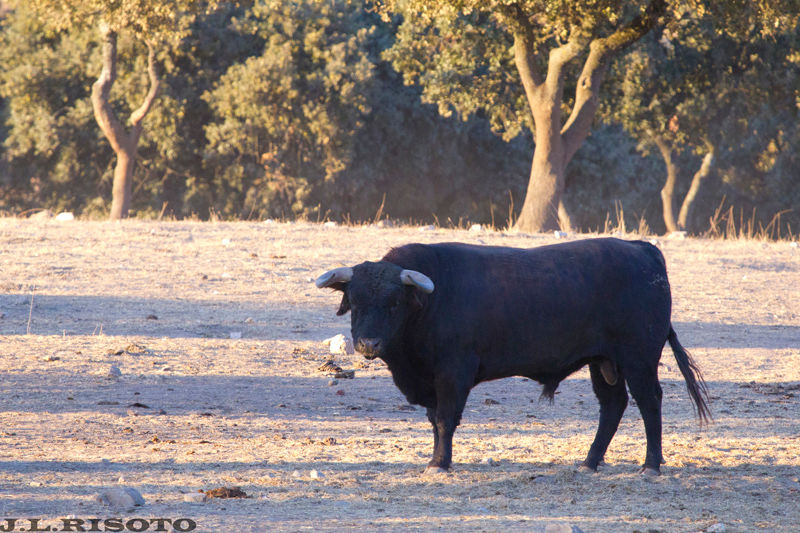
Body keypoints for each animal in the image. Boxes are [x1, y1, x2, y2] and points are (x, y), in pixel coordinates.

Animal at [316, 238, 708, 474]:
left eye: (394, 302)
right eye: (354, 301)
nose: (368, 344)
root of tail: (640, 248)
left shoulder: (454, 373)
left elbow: (445, 419)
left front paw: (440, 464)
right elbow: (434, 420)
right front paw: (437, 458)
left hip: (639, 358)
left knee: (650, 402)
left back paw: (651, 465)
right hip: (604, 362)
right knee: (613, 405)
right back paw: (589, 462)